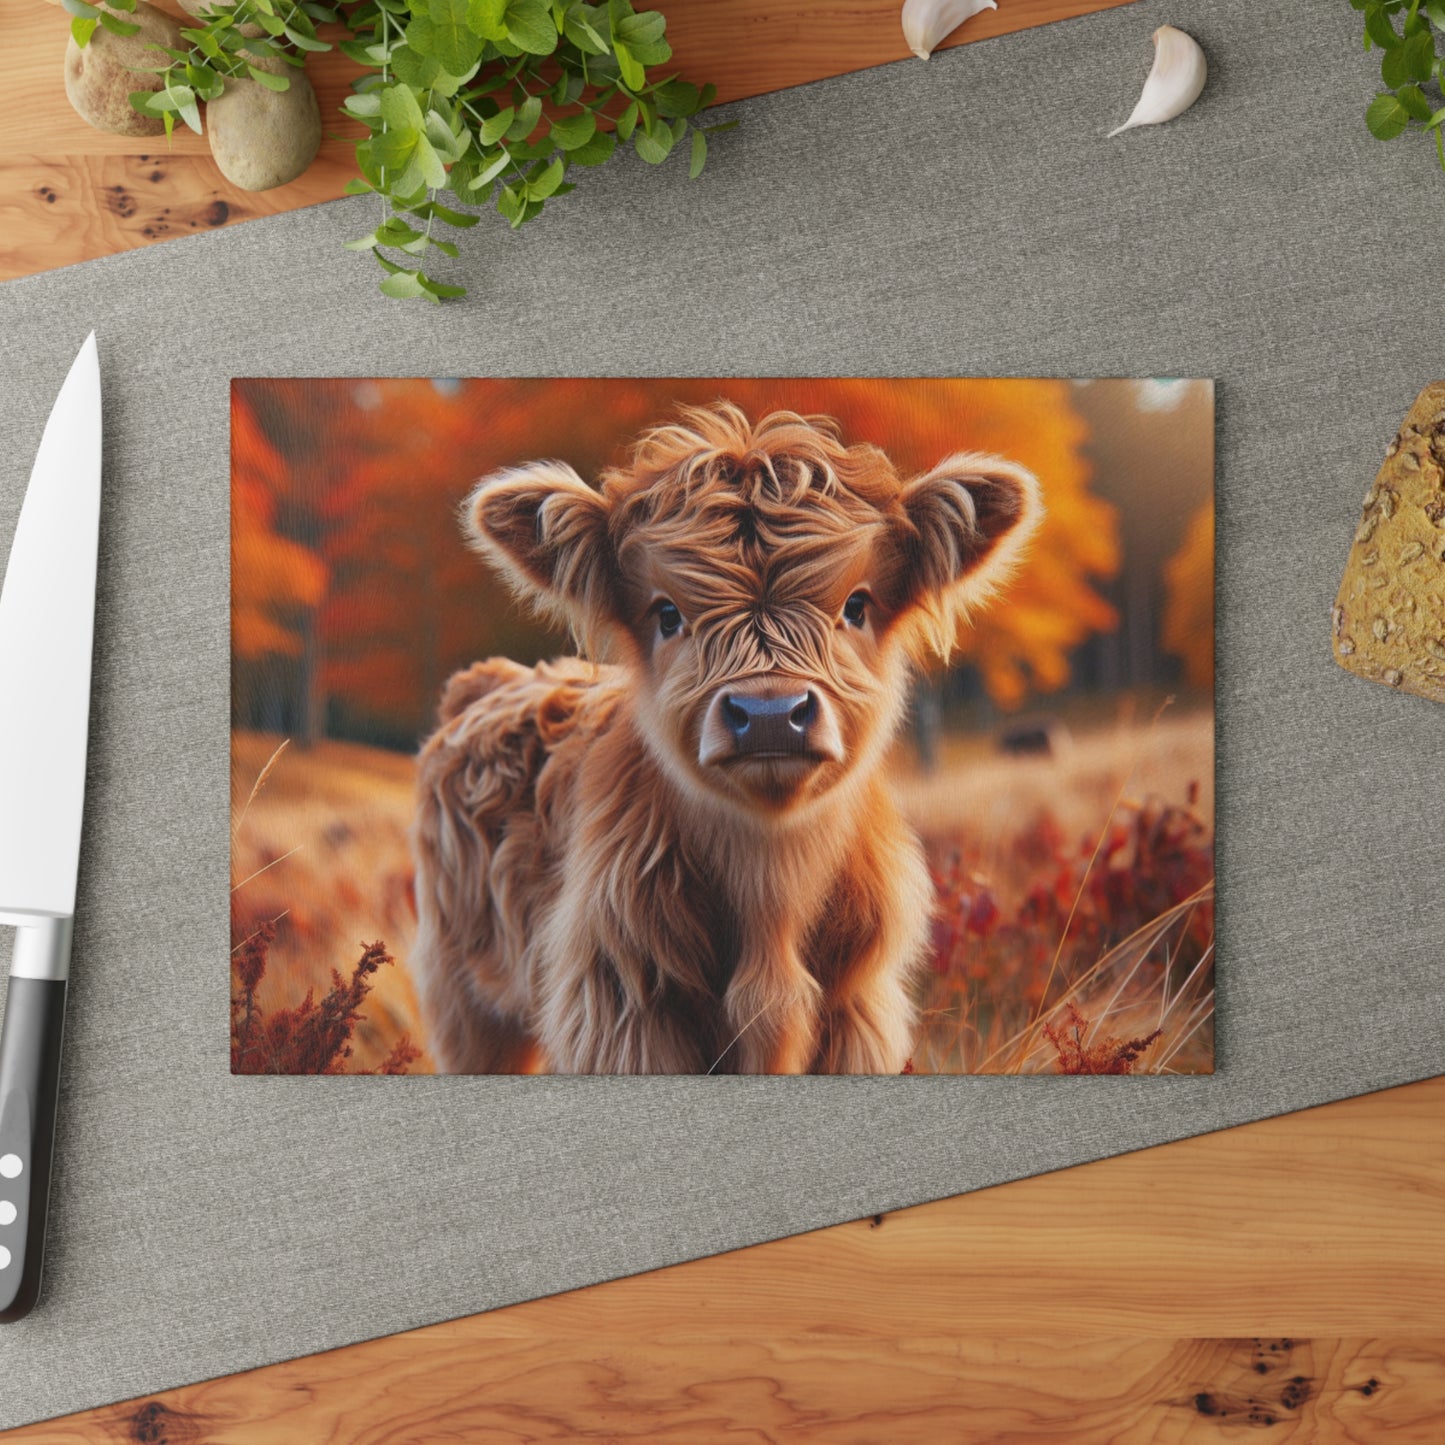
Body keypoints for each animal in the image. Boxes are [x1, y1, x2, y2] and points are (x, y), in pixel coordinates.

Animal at [410, 402, 1041, 1074]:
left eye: (856, 605)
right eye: (667, 614)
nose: (769, 713)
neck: (771, 898)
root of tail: (488, 679)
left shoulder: (859, 1015)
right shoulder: (622, 1017)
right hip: (465, 1002)